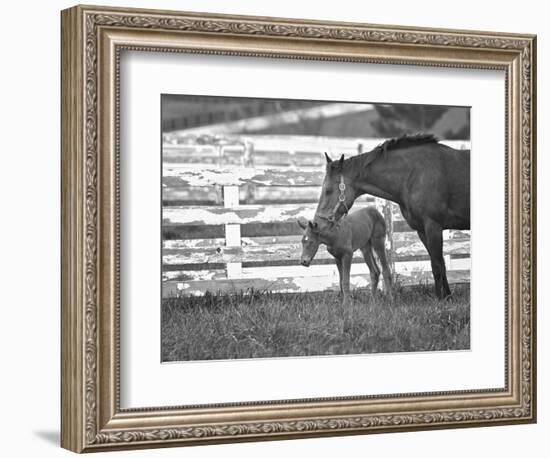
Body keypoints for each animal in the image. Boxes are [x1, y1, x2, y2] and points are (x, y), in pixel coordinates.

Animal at [316, 132, 472, 298]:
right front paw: (447, 297)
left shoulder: (433, 226)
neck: (416, 174)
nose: (317, 223)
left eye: (328, 190)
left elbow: (436, 265)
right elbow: (440, 264)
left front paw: (441, 299)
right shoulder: (422, 230)